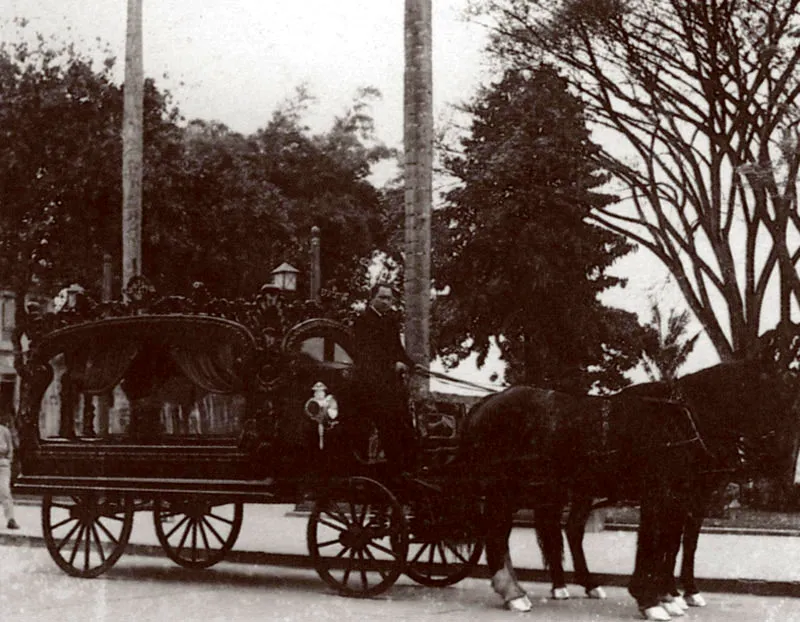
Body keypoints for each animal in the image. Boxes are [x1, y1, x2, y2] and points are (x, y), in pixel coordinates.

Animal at [456, 388, 708, 620]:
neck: (676, 419)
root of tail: (489, 400)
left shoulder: (677, 500)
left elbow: (668, 545)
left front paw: (667, 597)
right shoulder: (659, 496)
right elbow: (655, 543)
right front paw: (652, 600)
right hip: (503, 491)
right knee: (498, 534)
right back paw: (513, 593)